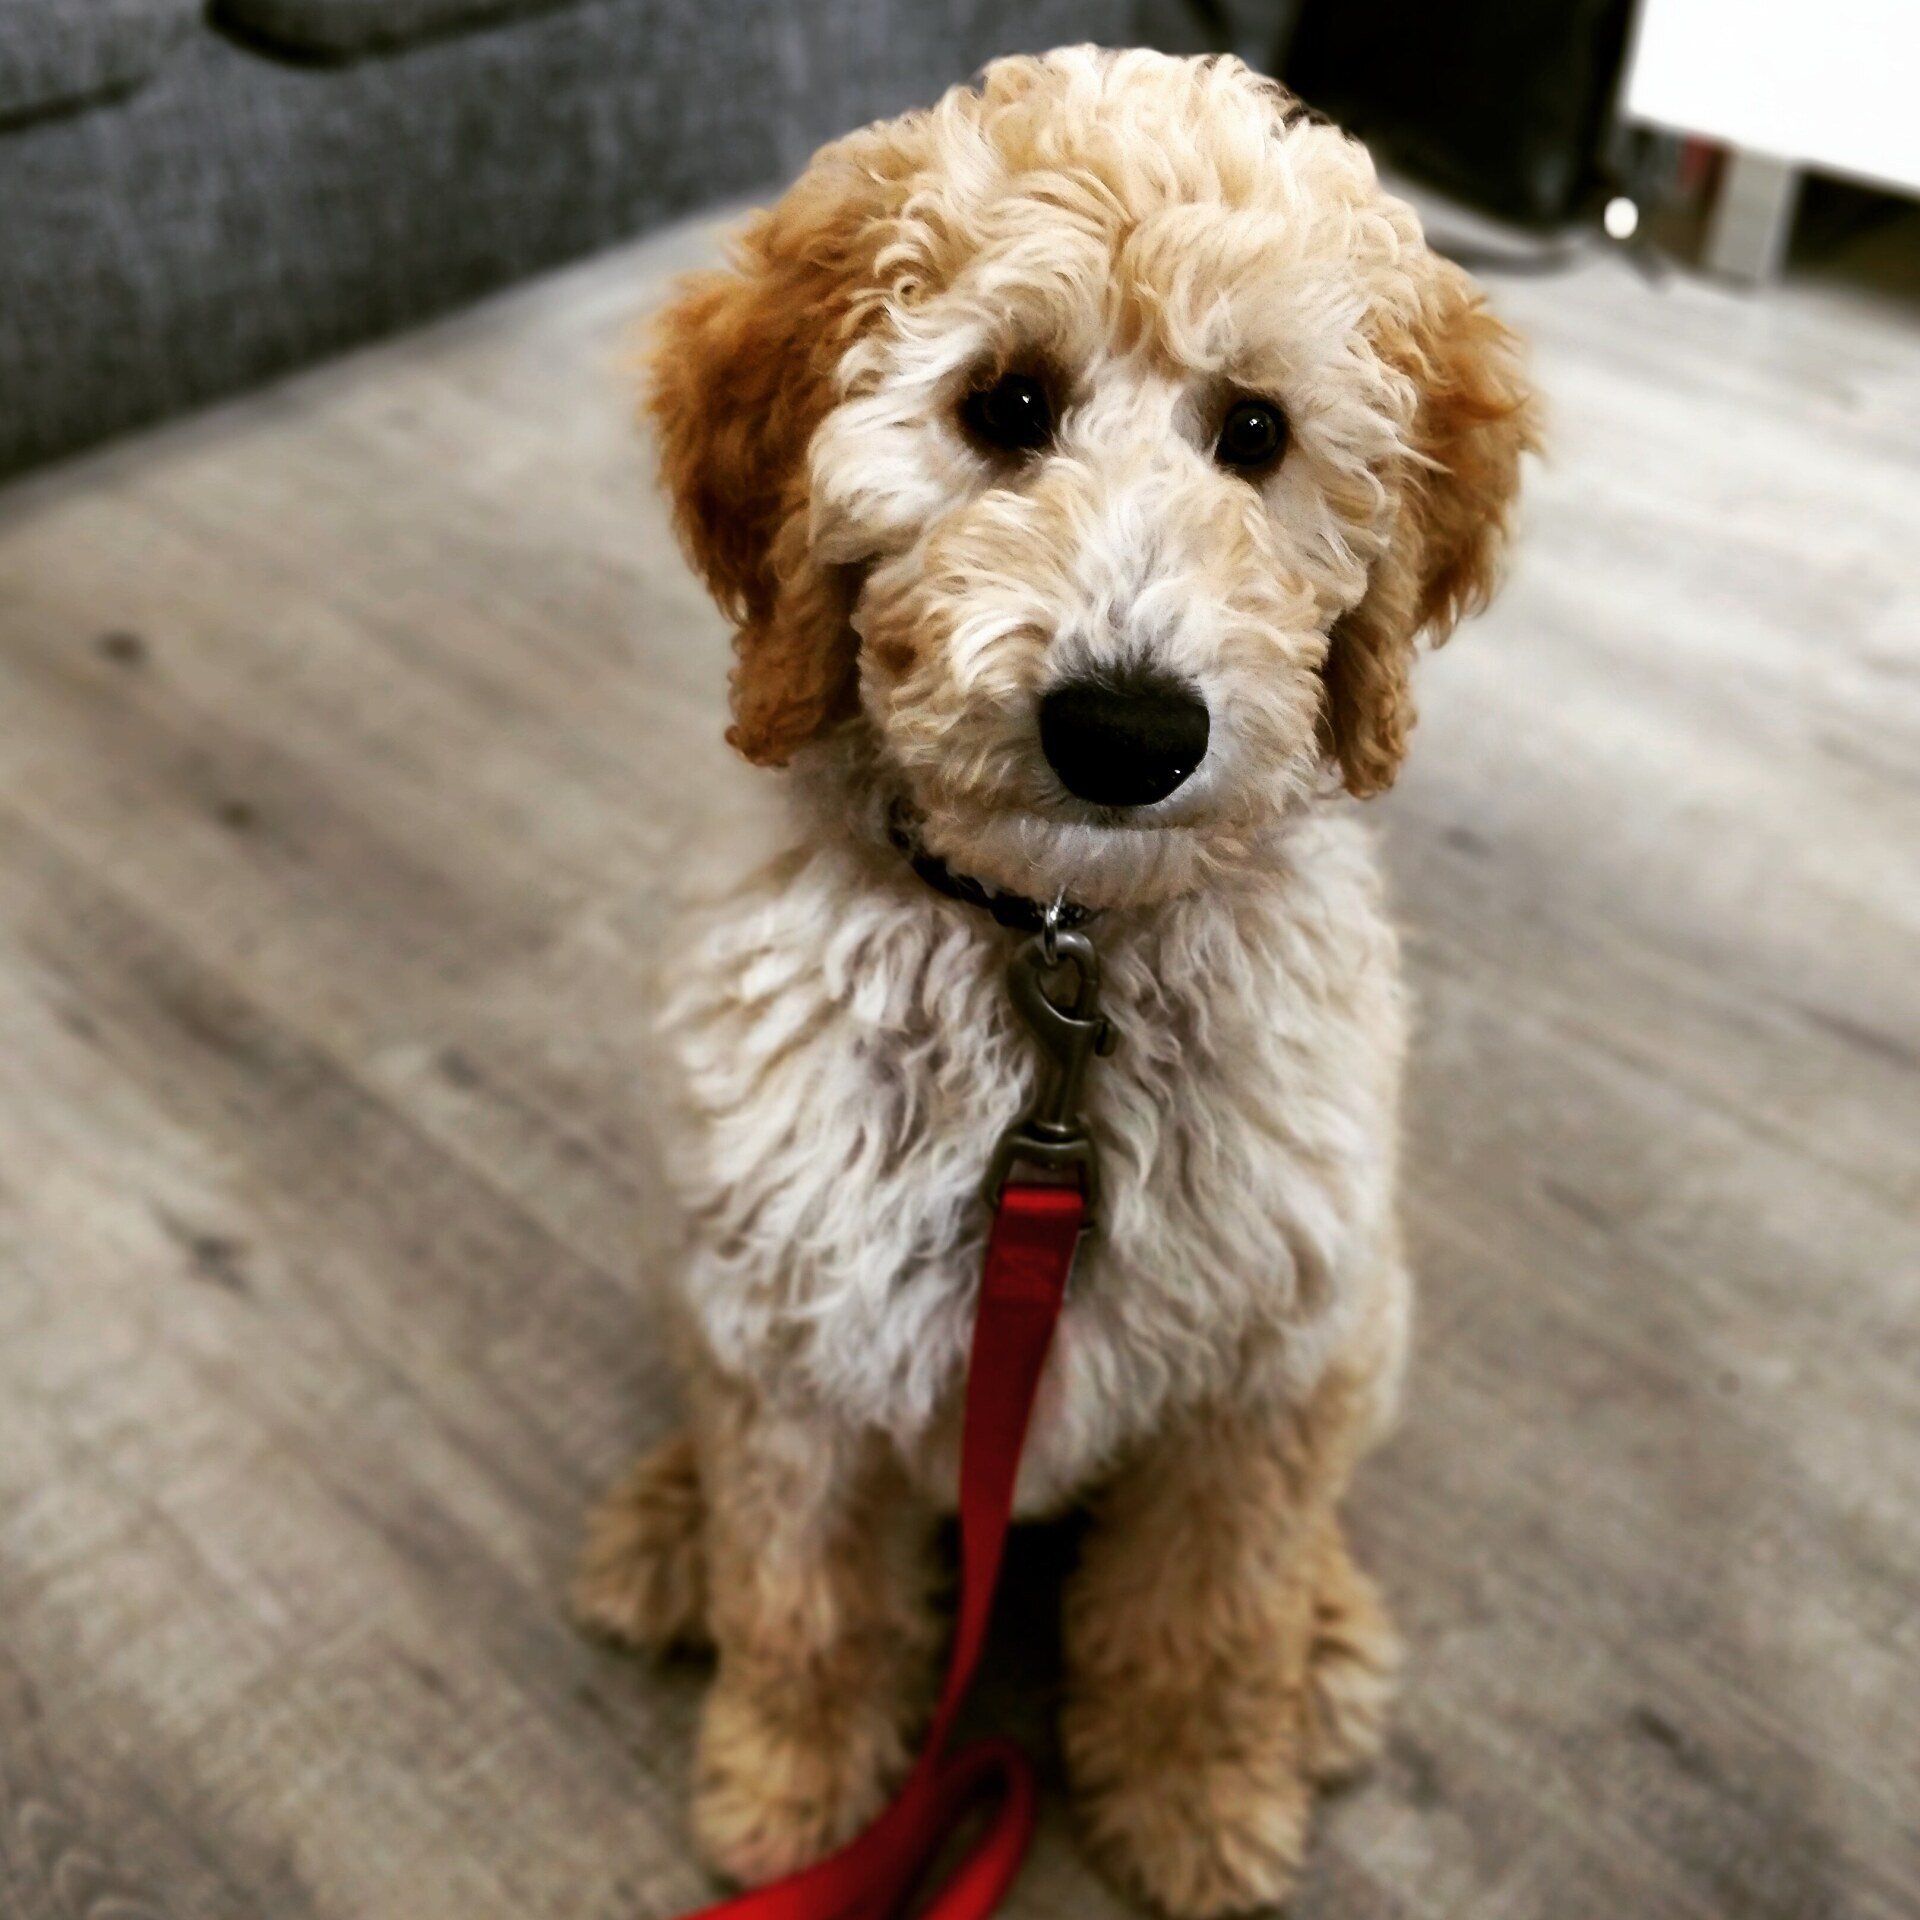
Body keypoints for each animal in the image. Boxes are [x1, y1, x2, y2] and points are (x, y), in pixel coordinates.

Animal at [575, 46, 1535, 1919]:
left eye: (1258, 433)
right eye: (1004, 406)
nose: (1129, 731)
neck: (1055, 957)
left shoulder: (1266, 1360)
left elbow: (1208, 1612)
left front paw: (1193, 1803)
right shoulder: (797, 1322)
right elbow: (801, 1592)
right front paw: (801, 1806)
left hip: (1364, 1322)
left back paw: (1322, 1646)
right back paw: (669, 1527)